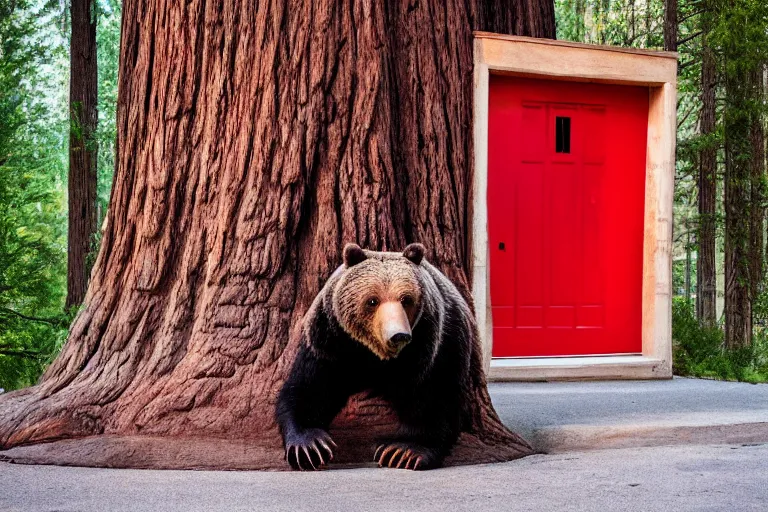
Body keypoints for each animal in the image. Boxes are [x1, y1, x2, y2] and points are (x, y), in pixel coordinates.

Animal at [276, 242, 474, 470]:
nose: (399, 335)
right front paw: (310, 446)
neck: (374, 355)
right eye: (372, 301)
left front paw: (403, 451)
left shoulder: (429, 345)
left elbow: (433, 395)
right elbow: (310, 387)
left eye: (406, 299)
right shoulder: (329, 340)